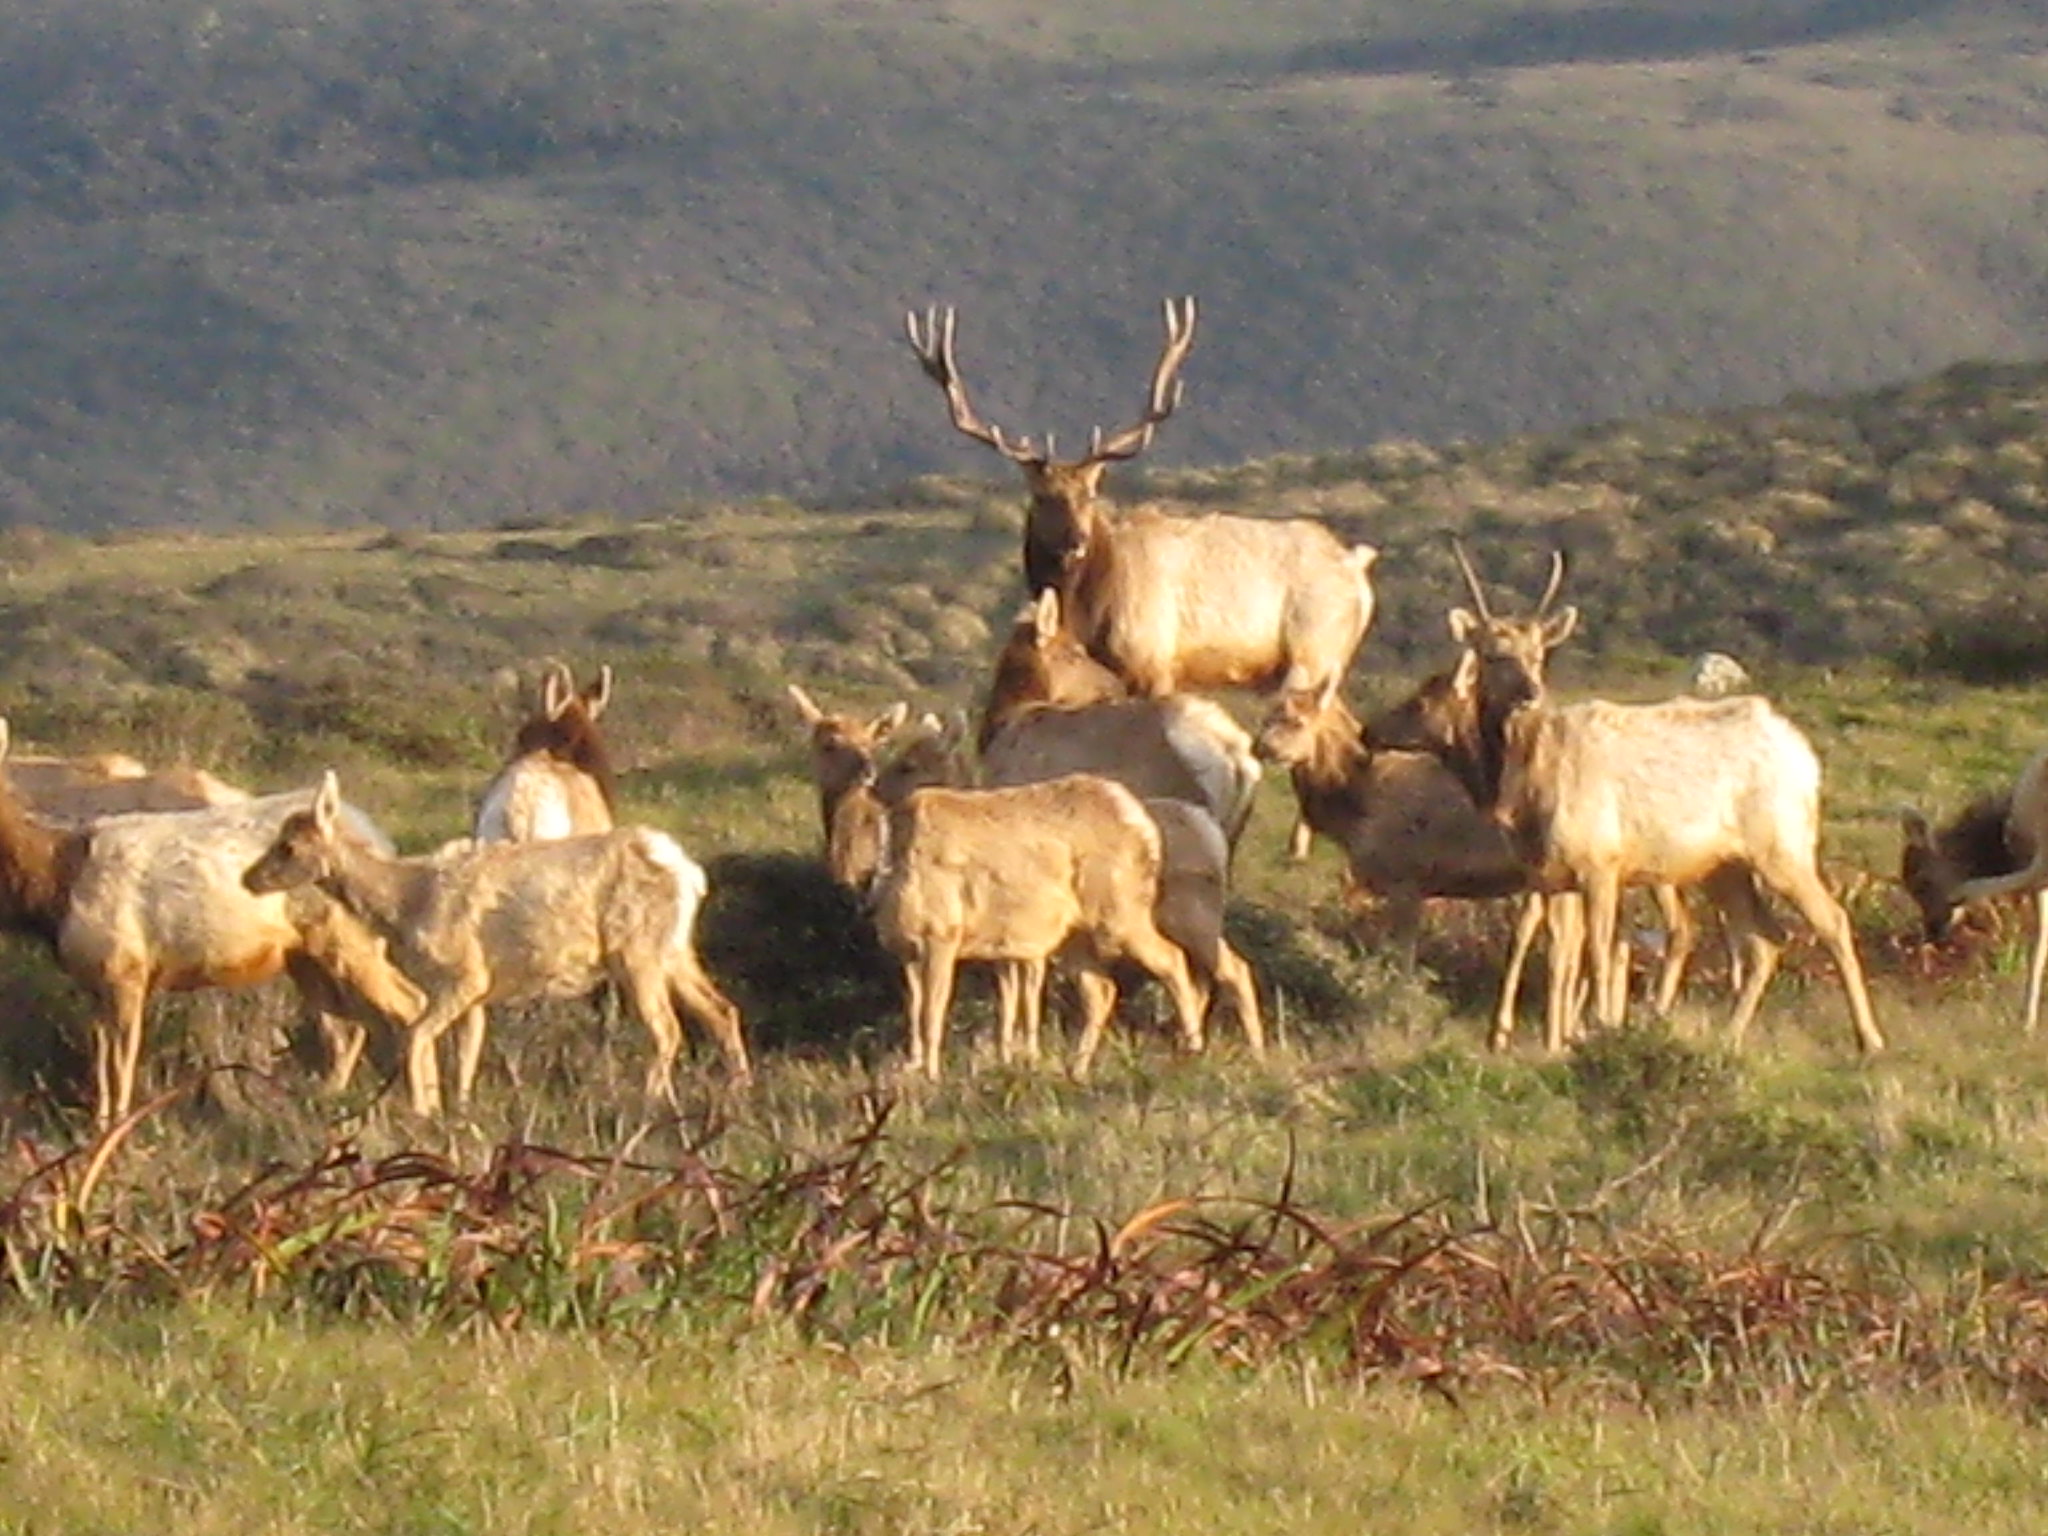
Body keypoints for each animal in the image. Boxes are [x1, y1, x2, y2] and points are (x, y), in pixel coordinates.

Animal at [0, 716, 421, 1122]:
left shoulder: (126, 972)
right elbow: (101, 1071)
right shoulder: (96, 982)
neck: (54, 880)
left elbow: (120, 1073)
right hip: (307, 958)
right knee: (348, 1028)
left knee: (407, 1006)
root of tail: (383, 841)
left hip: (351, 942)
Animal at [243, 770, 749, 1122]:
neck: (407, 903)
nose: (250, 879)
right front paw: (458, 1110)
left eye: (288, 846)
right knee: (721, 1011)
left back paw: (650, 1103)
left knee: (666, 1027)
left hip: (636, 952)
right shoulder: (475, 992)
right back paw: (733, 1095)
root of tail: (688, 873)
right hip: (675, 951)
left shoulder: (462, 975)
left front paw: (423, 1110)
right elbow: (469, 1050)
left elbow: (416, 1034)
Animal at [909, 296, 1376, 704]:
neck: (1089, 617)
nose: (1076, 541)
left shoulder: (1155, 664)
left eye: (1091, 494)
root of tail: (1357, 570)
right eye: (1041, 496)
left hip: (1312, 649)